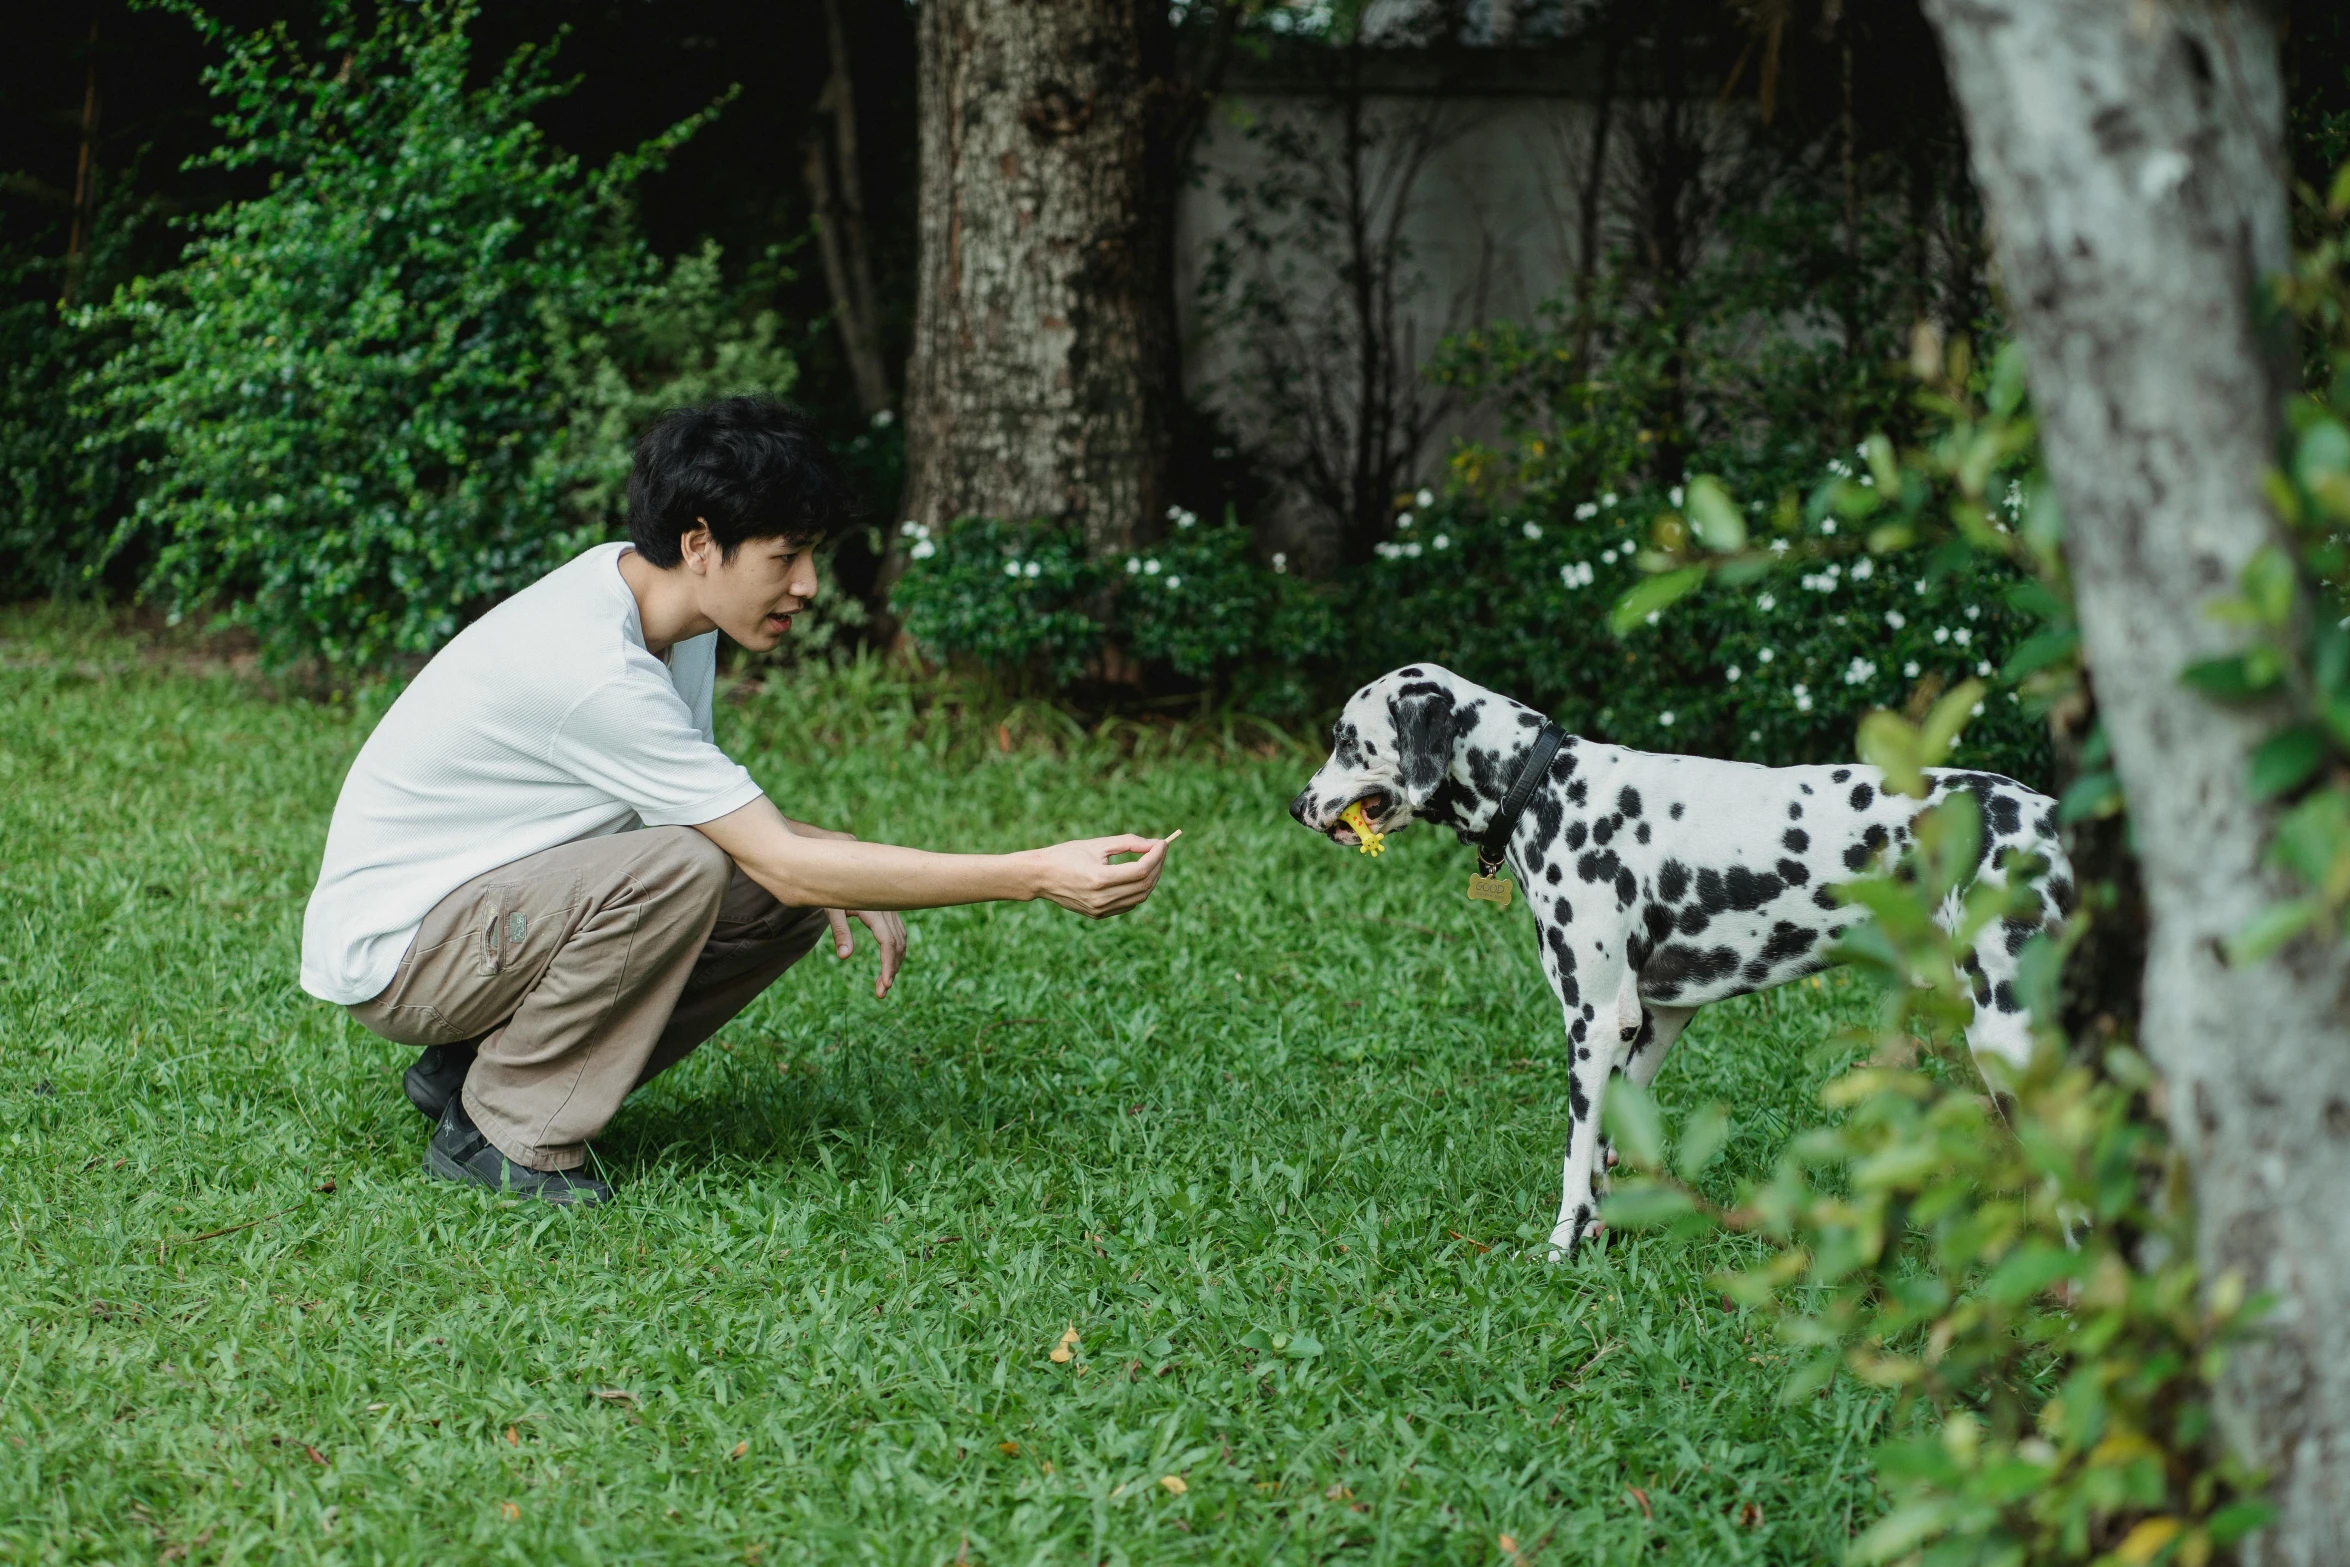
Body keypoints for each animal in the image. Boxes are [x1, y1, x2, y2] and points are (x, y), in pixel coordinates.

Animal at [1287, 667, 2077, 1259]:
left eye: (1347, 740)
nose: (1297, 806)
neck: (1548, 788)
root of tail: (2048, 817)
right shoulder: (1655, 1021)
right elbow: (1607, 1147)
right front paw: (1600, 1230)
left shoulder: (1593, 1023)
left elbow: (1575, 1155)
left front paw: (1560, 1246)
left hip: (2007, 1039)